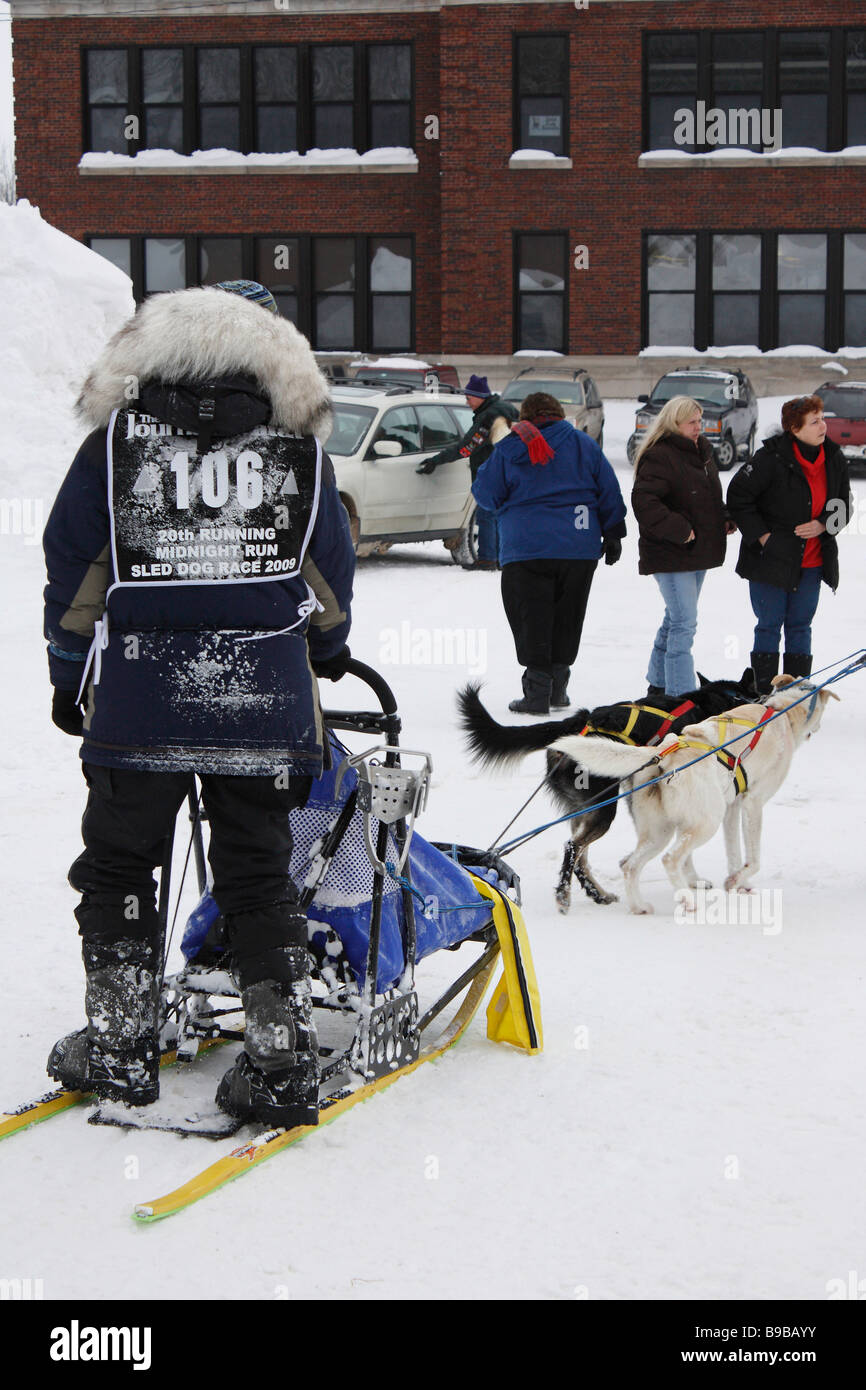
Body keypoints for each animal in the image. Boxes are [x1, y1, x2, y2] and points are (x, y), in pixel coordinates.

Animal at [461, 672, 756, 911]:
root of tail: (578, 721)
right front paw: (693, 879)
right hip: (603, 807)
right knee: (574, 848)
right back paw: (565, 896)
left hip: (586, 808)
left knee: (580, 855)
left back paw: (597, 894)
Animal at [547, 678, 839, 917]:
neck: (781, 712)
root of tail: (664, 753)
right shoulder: (753, 803)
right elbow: (753, 858)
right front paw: (737, 880)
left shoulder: (732, 808)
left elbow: (734, 853)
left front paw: (738, 882)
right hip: (703, 822)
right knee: (669, 859)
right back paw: (687, 902)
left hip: (661, 830)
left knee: (629, 864)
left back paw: (639, 905)